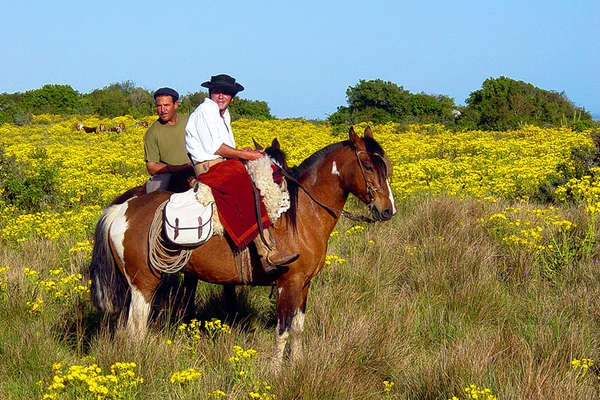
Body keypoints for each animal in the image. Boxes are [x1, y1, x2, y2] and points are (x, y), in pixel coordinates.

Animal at [88, 126, 394, 368]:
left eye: (386, 167)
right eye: (368, 166)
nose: (387, 210)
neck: (301, 215)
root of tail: (122, 209)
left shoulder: (305, 284)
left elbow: (298, 327)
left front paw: (297, 364)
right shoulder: (290, 283)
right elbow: (283, 330)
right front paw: (276, 371)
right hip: (144, 284)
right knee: (135, 329)